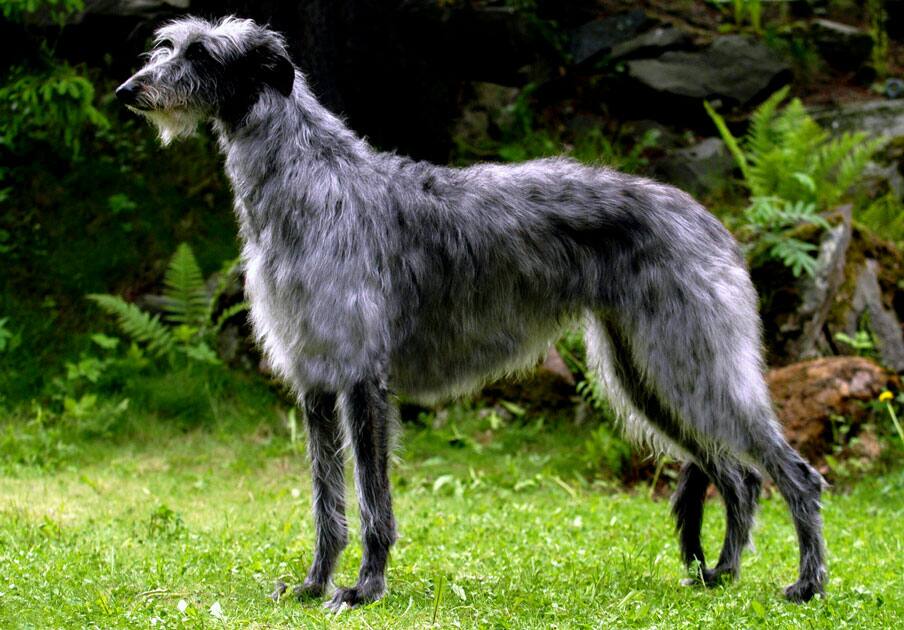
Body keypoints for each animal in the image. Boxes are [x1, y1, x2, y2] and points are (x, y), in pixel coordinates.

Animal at [118, 16, 828, 612]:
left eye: (202, 53)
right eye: (167, 45)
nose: (129, 89)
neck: (311, 181)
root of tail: (713, 221)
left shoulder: (362, 378)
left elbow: (372, 503)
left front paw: (364, 589)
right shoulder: (315, 379)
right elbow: (327, 503)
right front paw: (315, 583)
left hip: (690, 361)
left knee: (794, 475)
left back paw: (807, 584)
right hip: (646, 374)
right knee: (739, 478)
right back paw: (722, 574)